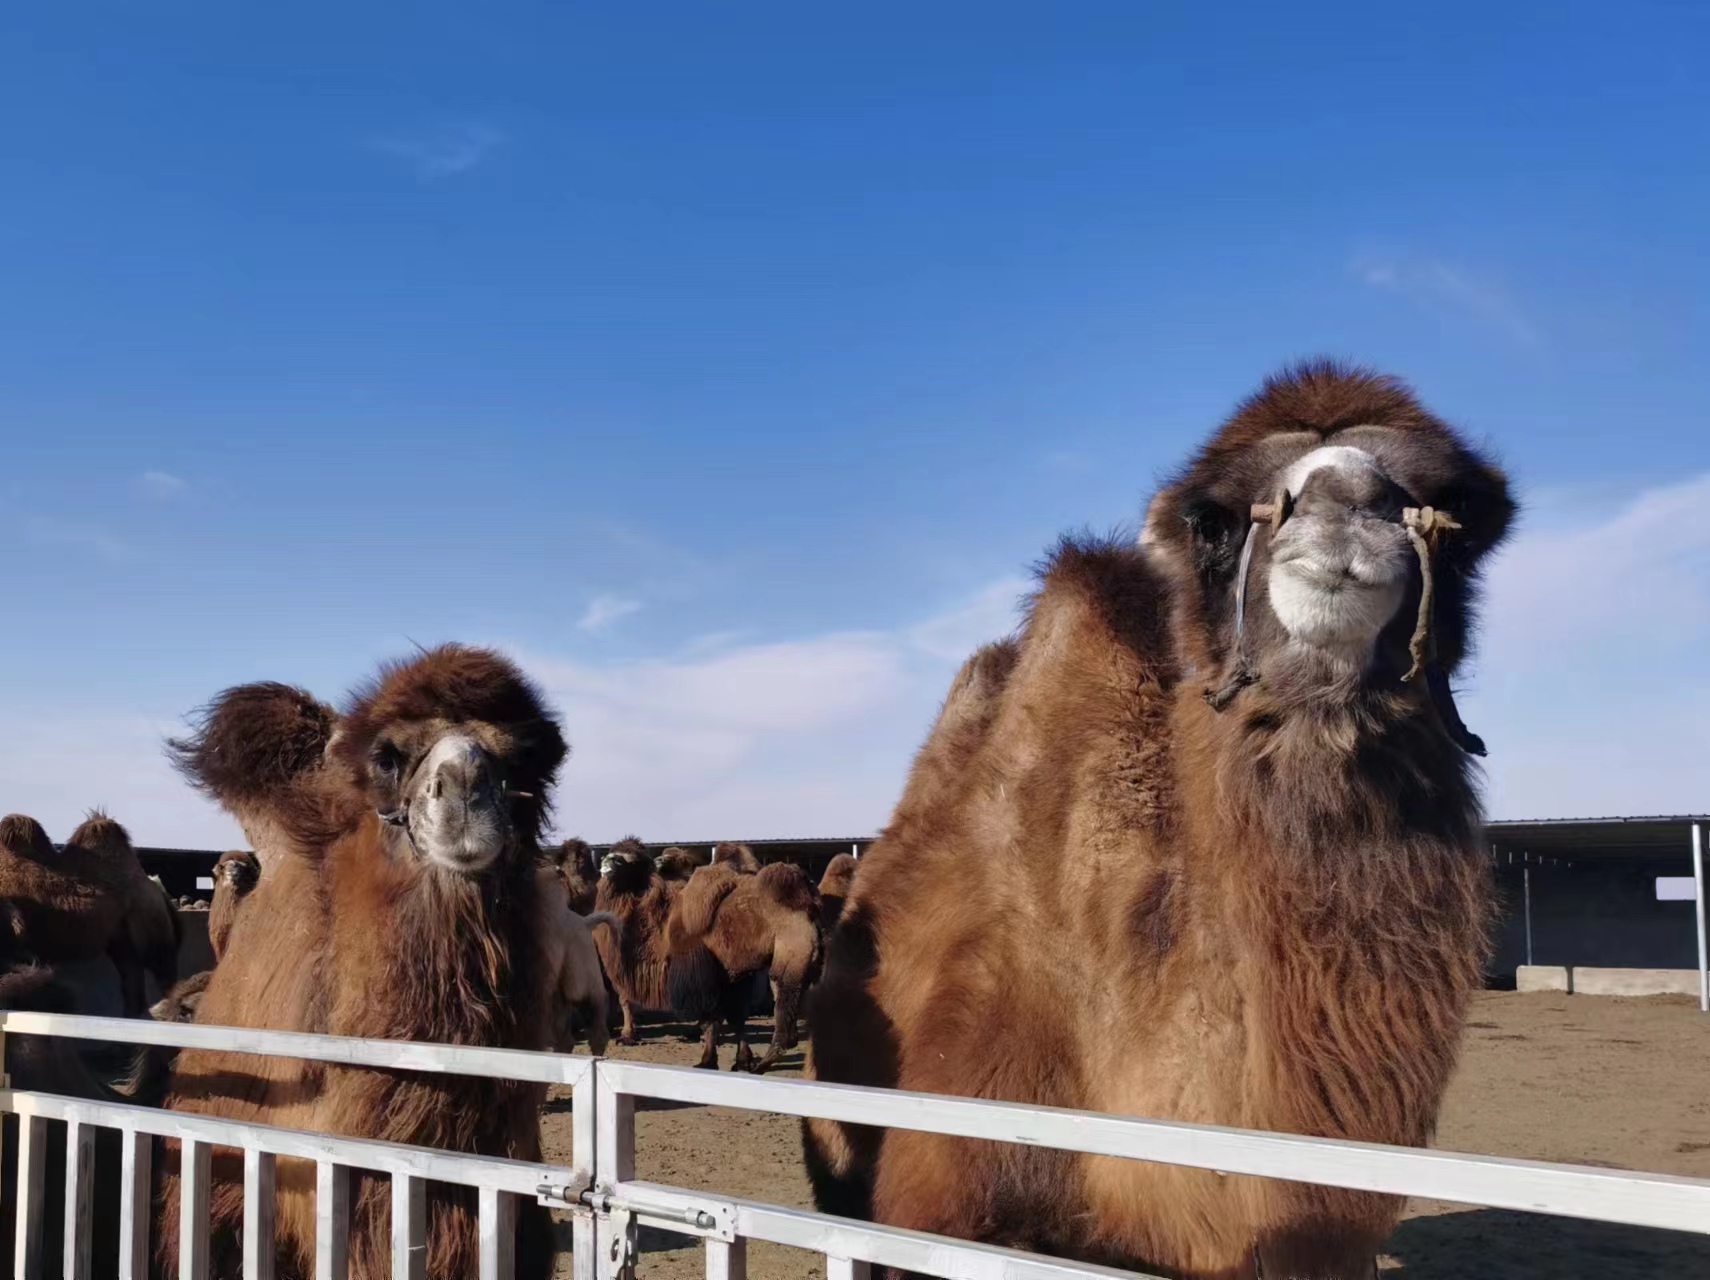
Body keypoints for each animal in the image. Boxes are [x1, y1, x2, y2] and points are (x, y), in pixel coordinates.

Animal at [666, 857, 820, 1066]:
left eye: (816, 912)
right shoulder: (724, 976)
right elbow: (724, 1017)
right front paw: (718, 1061)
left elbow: (725, 1016)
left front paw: (731, 1061)